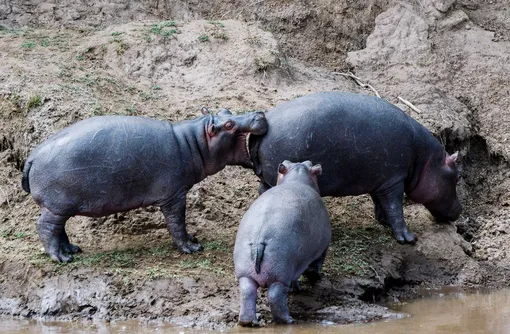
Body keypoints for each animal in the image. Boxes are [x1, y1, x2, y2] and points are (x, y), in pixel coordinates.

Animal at [21, 108, 268, 262]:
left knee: (58, 228)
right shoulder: (175, 195)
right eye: (229, 124)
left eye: (227, 111)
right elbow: (177, 222)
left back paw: (72, 250)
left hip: (60, 207)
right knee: (45, 227)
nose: (259, 113)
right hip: (57, 205)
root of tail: (32, 156)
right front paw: (192, 247)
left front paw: (193, 240)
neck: (194, 142)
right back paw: (61, 258)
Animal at [234, 160, 330, 324]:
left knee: (247, 294)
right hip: (280, 275)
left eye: (308, 163)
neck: (297, 176)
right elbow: (315, 265)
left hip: (245, 275)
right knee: (275, 297)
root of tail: (259, 239)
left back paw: (249, 322)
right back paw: (289, 320)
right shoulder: (322, 248)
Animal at [251, 92, 462, 244]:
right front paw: (408, 239)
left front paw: (383, 221)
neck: (424, 158)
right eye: (457, 176)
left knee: (263, 190)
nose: (460, 209)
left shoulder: (381, 180)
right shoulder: (394, 180)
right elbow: (396, 208)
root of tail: (265, 125)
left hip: (270, 178)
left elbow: (381, 203)